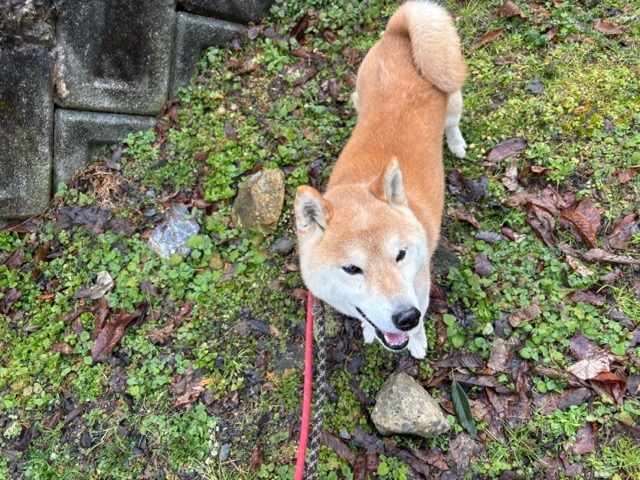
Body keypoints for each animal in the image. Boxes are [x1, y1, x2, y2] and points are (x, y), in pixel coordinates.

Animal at [294, 0, 467, 359]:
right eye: (351, 269)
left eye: (400, 255)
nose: (406, 317)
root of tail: (400, 33)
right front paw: (370, 329)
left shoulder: (421, 285)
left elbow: (422, 318)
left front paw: (418, 340)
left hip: (452, 98)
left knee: (453, 122)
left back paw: (457, 144)